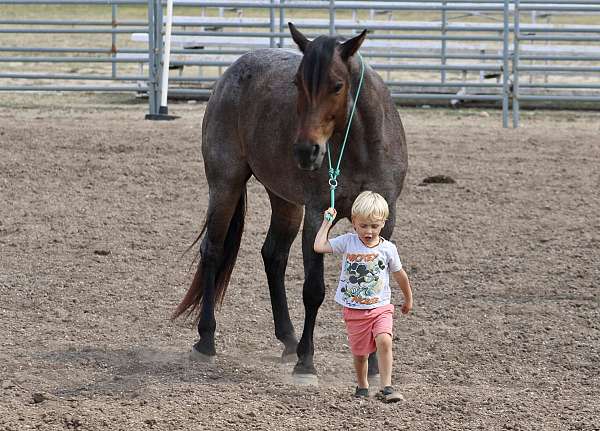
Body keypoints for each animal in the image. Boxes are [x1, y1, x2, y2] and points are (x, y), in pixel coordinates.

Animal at [173, 22, 408, 384]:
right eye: (298, 83)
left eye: (337, 85)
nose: (306, 151)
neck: (361, 146)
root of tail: (234, 70)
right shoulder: (317, 215)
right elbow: (313, 290)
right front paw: (306, 363)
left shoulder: (387, 218)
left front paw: (371, 364)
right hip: (225, 184)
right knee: (212, 251)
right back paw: (206, 340)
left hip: (284, 200)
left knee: (273, 255)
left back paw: (288, 339)